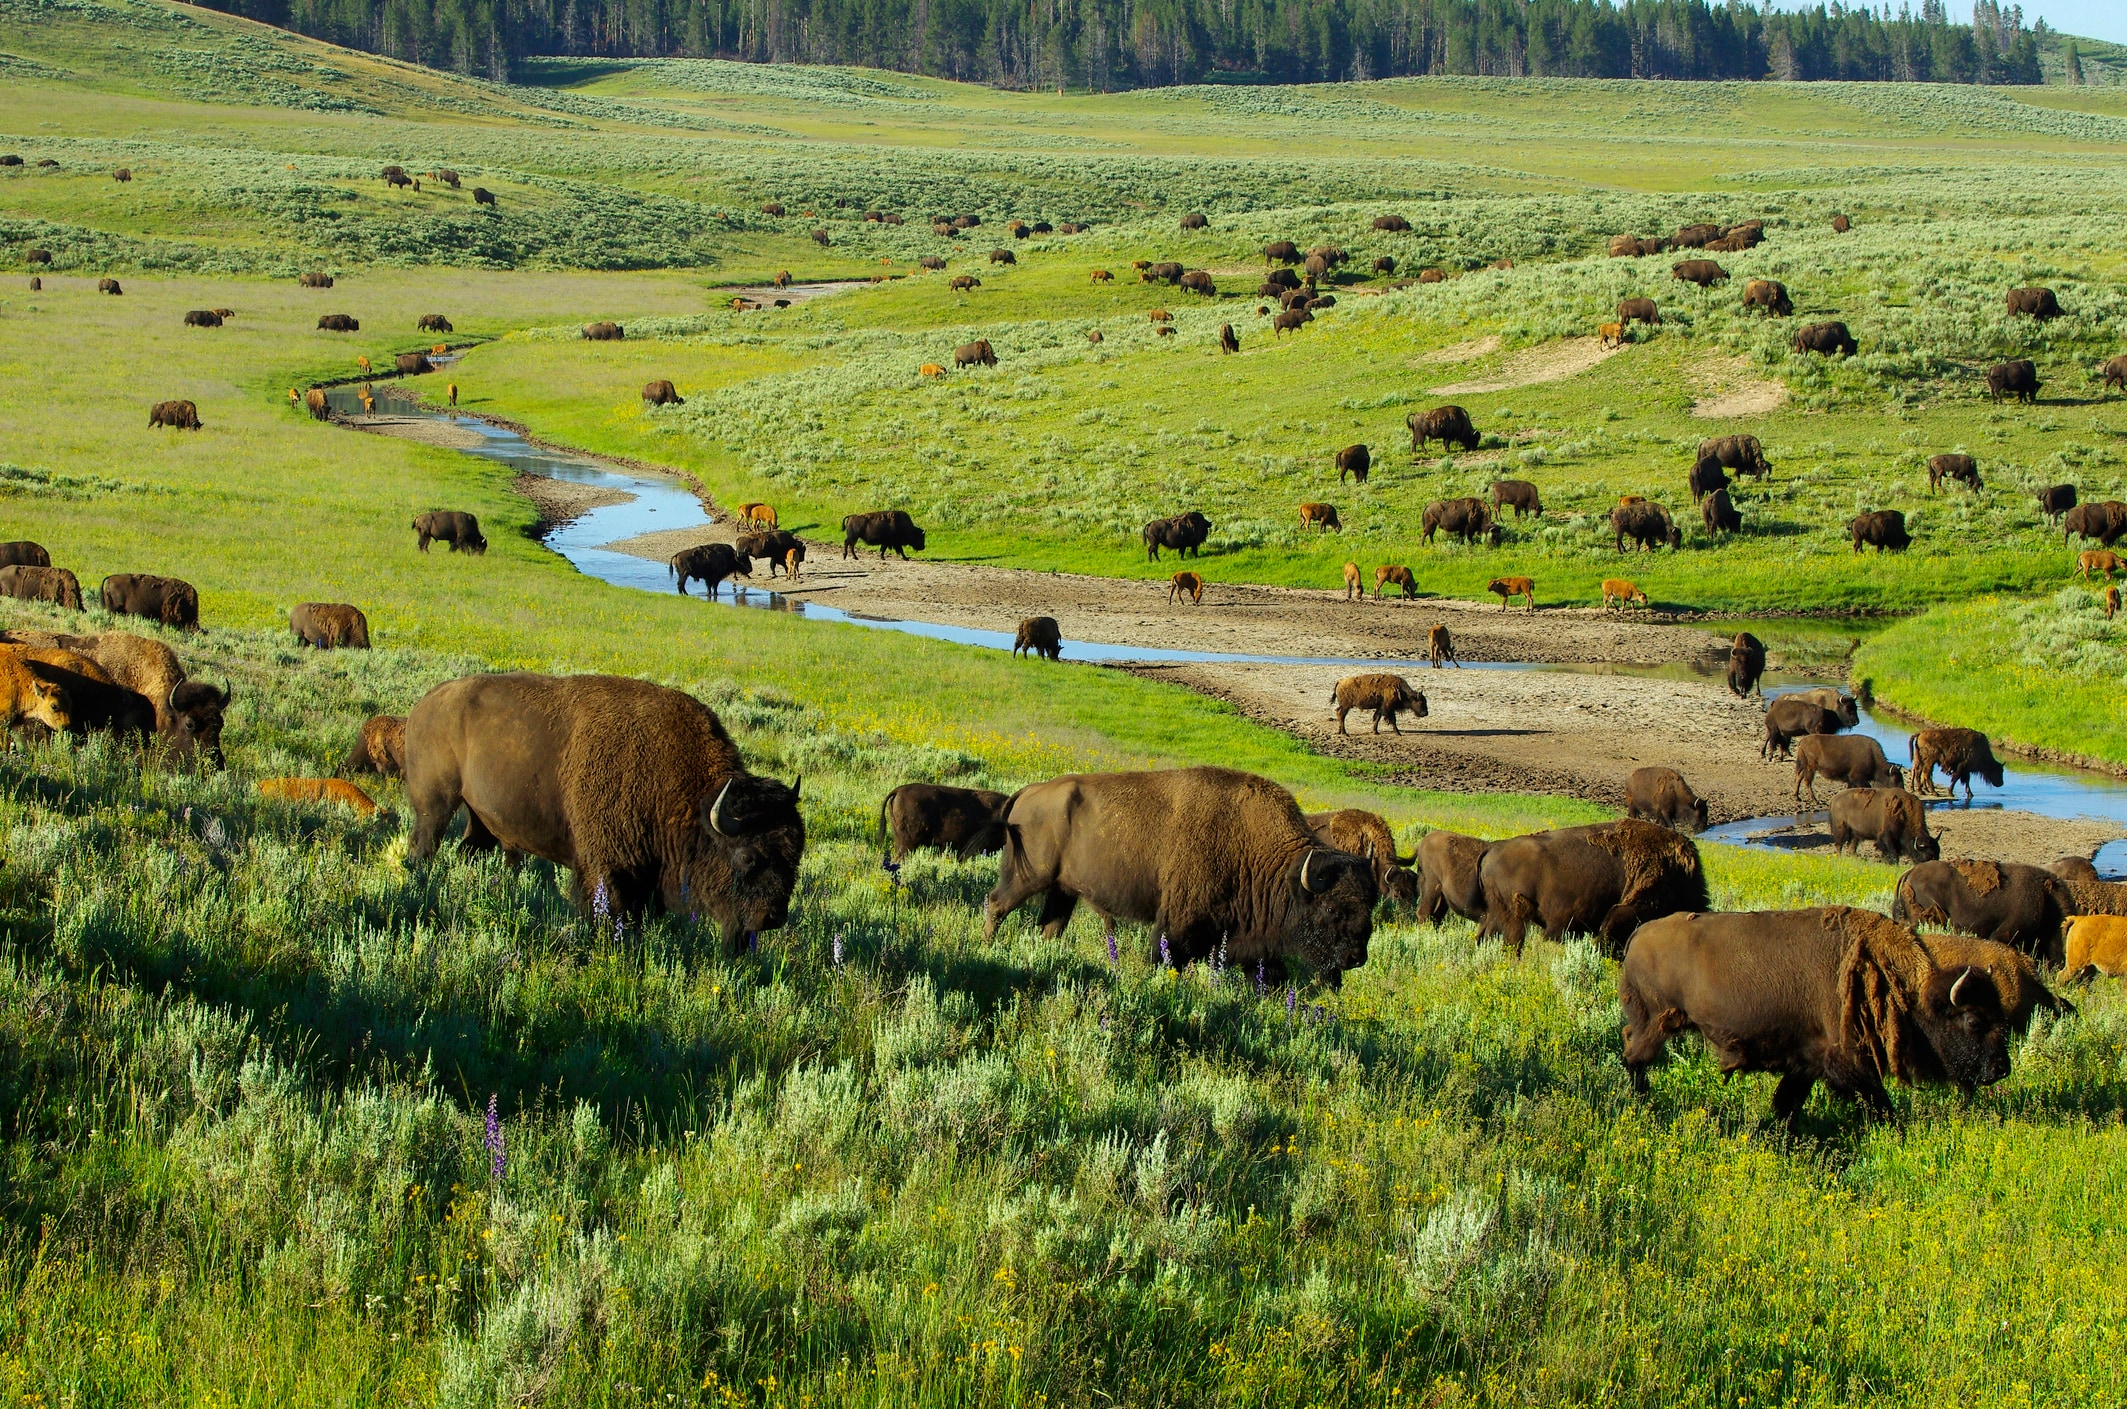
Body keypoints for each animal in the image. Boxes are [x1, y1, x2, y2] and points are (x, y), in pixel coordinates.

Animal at [407, 673, 803, 949]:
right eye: (748, 857)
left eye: (794, 857)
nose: (772, 918)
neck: (687, 799)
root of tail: (426, 704)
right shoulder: (607, 869)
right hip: (435, 804)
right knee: (423, 845)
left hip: (481, 820)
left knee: (468, 849)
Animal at [982, 766, 1377, 983]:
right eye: (1331, 908)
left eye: (1369, 907)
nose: (1356, 957)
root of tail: (1027, 792)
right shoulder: (1178, 926)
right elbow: (1167, 958)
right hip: (1028, 877)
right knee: (996, 903)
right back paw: (987, 947)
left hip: (1063, 890)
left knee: (1050, 925)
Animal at [1621, 906, 2010, 1129]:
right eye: (1973, 1021)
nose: (2001, 1069)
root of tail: (1638, 933)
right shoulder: (1846, 1061)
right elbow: (1878, 1100)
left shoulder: (1805, 1064)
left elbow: (1788, 1102)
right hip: (1655, 1023)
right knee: (1634, 1057)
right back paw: (1642, 1100)